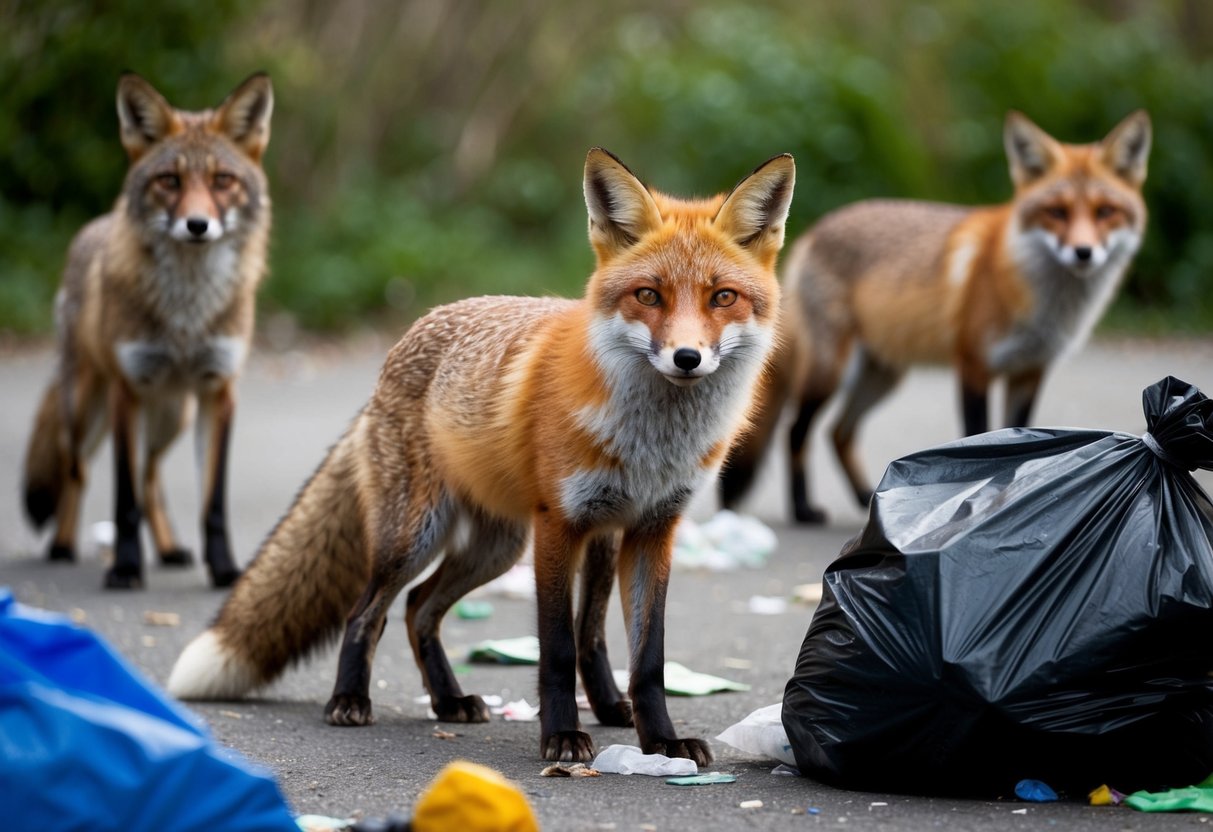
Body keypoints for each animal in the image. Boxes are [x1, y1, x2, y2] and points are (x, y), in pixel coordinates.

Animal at [21, 72, 274, 588]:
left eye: (222, 181)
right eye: (169, 181)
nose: (197, 225)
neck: (187, 316)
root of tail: (94, 226)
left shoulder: (219, 391)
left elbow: (211, 503)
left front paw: (224, 570)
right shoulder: (128, 389)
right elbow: (123, 500)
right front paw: (124, 568)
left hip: (172, 415)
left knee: (152, 478)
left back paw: (171, 548)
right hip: (87, 408)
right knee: (79, 471)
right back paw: (63, 545)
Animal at [167, 148, 795, 764]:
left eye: (722, 297)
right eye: (649, 295)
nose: (687, 358)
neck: (653, 442)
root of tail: (402, 344)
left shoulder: (651, 529)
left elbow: (646, 658)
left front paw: (662, 742)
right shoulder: (559, 525)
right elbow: (556, 648)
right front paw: (561, 739)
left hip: (503, 546)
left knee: (425, 608)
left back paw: (453, 700)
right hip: (417, 536)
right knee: (368, 611)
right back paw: (349, 699)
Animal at [719, 110, 1151, 524]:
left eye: (1106, 212)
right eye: (1056, 212)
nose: (1083, 253)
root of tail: (813, 232)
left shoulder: (1030, 371)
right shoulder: (974, 365)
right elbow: (980, 437)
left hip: (882, 377)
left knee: (839, 433)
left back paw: (865, 498)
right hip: (832, 371)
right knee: (796, 431)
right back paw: (803, 510)